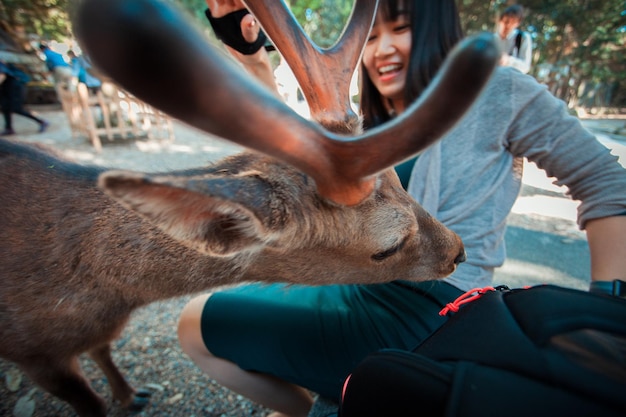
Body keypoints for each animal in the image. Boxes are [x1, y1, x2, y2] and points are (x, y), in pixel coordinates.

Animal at [0, 0, 498, 416]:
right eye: (387, 246)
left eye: (399, 179)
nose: (458, 251)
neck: (100, 300)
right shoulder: (35, 355)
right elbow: (89, 401)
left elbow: (104, 350)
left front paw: (129, 395)